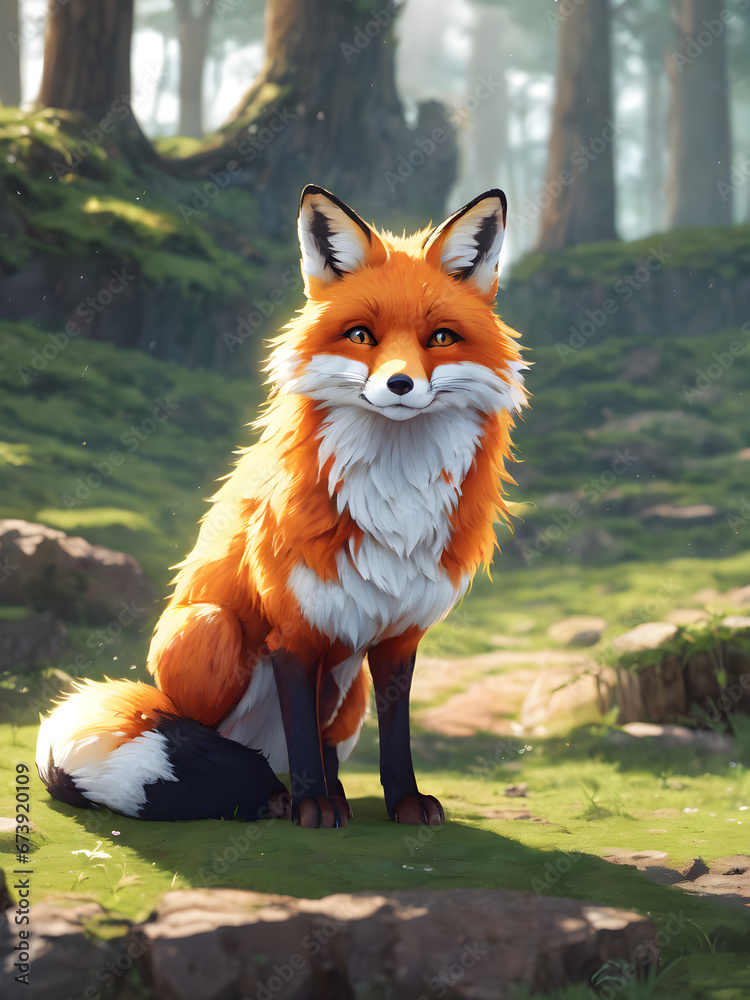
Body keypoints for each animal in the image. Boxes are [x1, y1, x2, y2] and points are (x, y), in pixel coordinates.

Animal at [36, 185, 527, 829]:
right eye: (361, 335)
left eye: (440, 338)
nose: (399, 385)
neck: (394, 500)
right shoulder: (293, 632)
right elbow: (300, 734)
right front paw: (311, 805)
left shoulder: (397, 638)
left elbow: (392, 738)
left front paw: (402, 802)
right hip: (209, 631)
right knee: (211, 737)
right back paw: (272, 796)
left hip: (348, 686)